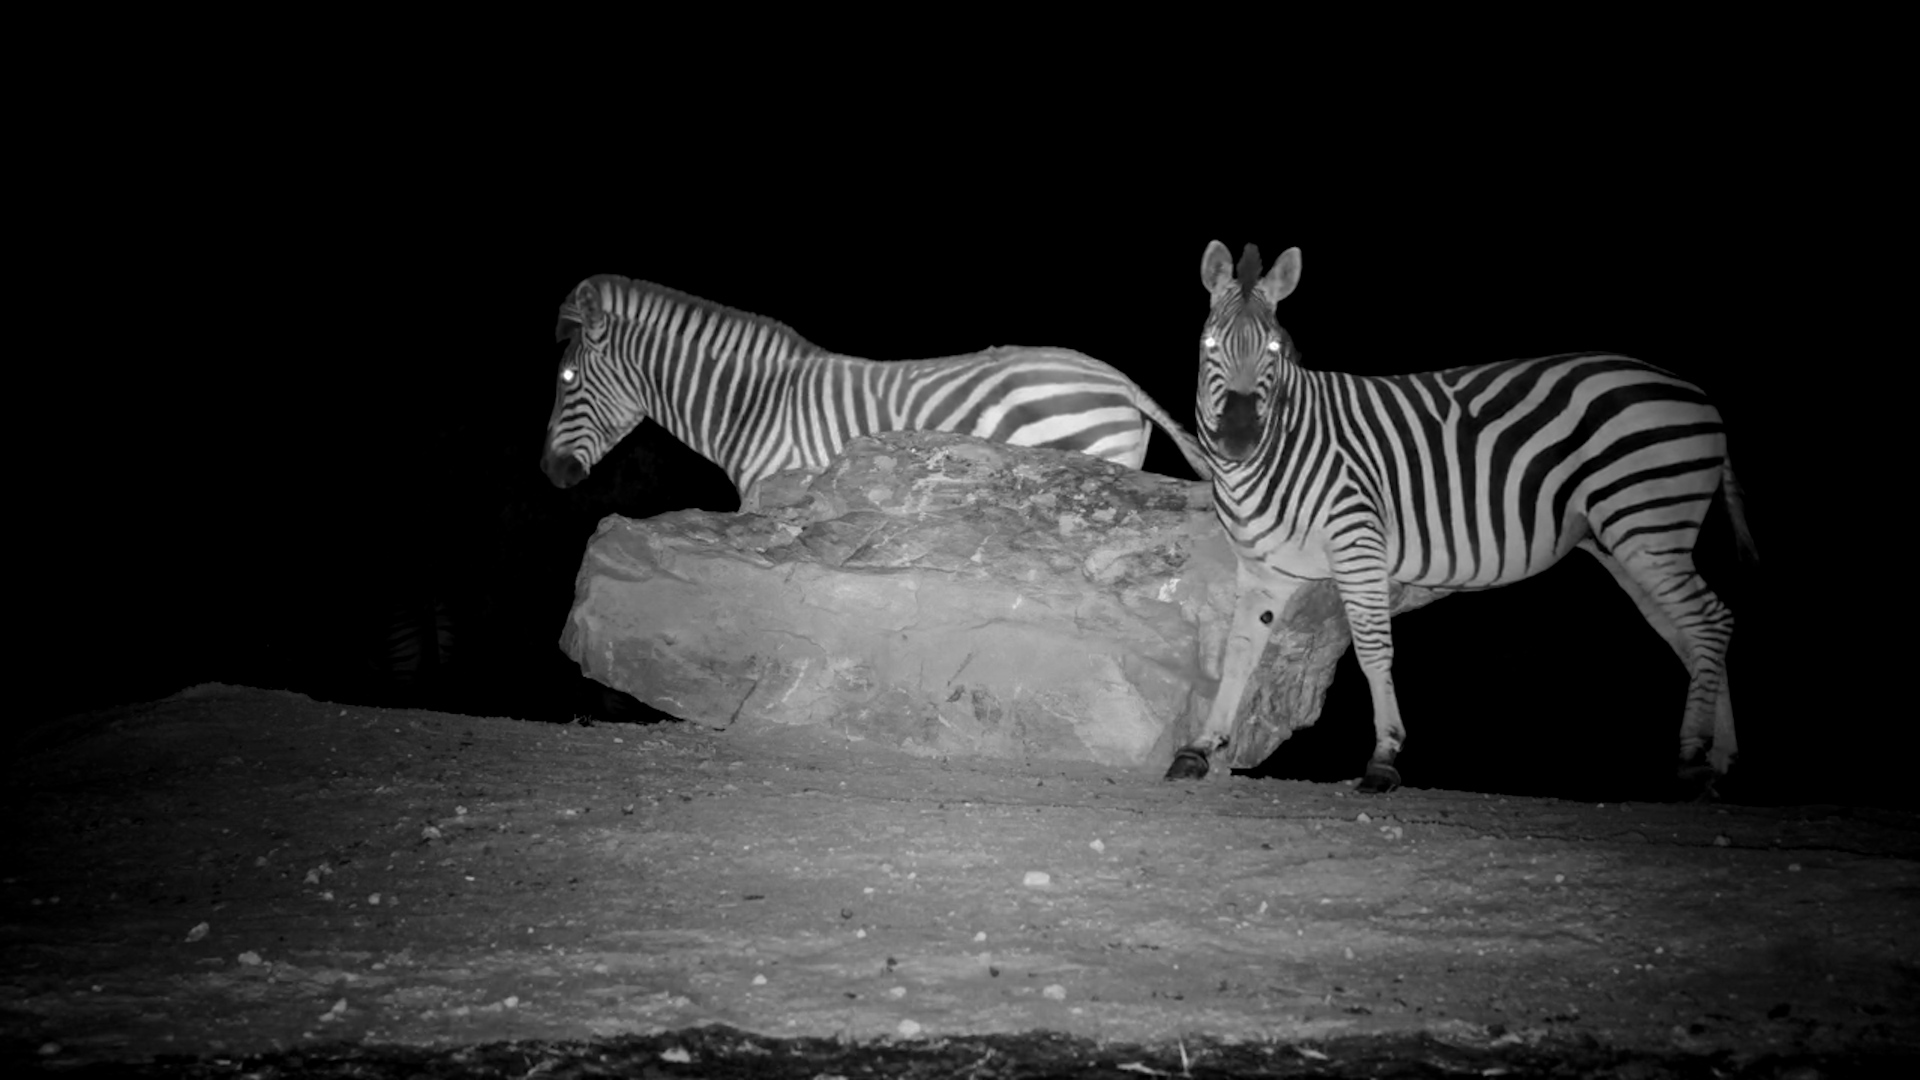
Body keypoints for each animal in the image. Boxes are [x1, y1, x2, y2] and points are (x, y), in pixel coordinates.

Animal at [1166, 242, 1757, 794]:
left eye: (1271, 348)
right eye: (1209, 346)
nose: (1238, 439)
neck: (1282, 446)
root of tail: (1697, 394)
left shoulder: (1357, 544)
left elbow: (1374, 650)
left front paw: (1383, 758)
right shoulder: (1265, 571)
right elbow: (1240, 654)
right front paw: (1200, 747)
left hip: (1647, 523)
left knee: (1710, 621)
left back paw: (1693, 759)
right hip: (1626, 541)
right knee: (1690, 632)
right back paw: (1719, 759)